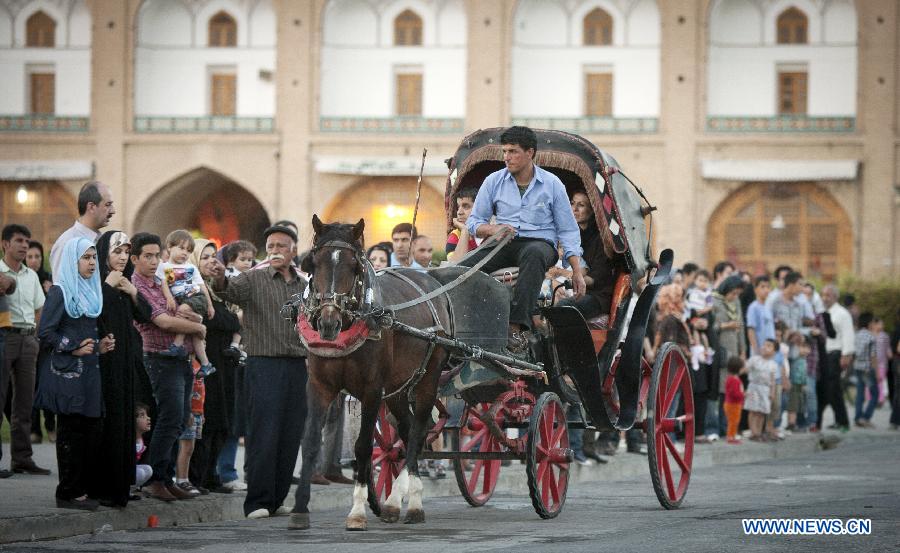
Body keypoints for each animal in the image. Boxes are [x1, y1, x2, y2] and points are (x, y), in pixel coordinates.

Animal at [292, 213, 454, 528]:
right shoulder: (319, 385)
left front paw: (357, 511)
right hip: (398, 388)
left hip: (428, 376)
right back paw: (398, 498)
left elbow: (362, 446)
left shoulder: (371, 390)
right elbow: (311, 441)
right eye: (313, 264)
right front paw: (300, 508)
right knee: (408, 430)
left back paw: (407, 503)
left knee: (419, 430)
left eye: (354, 266)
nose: (327, 322)